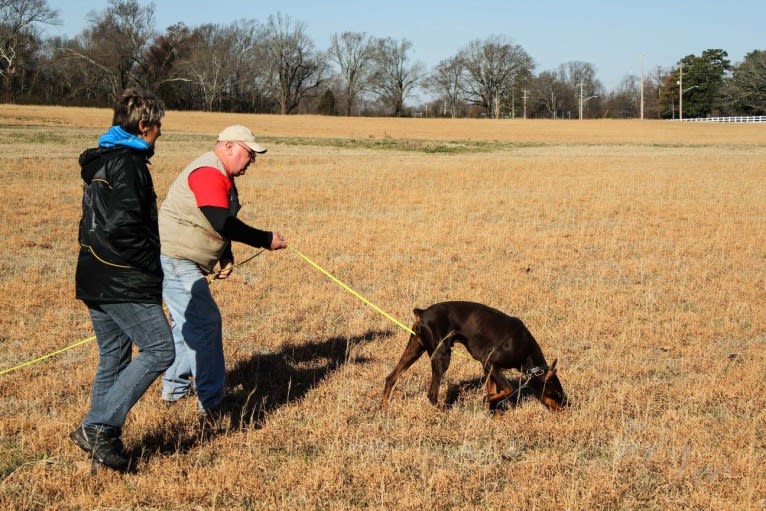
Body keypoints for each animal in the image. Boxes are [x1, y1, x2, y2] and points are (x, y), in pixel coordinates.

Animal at [388, 300, 568, 412]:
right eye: (557, 394)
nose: (565, 409)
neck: (524, 348)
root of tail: (423, 312)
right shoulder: (490, 362)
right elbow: (508, 389)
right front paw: (486, 399)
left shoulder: (489, 369)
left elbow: (495, 391)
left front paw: (494, 410)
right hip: (442, 356)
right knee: (432, 394)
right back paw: (443, 413)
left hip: (415, 349)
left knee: (390, 377)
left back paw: (384, 408)